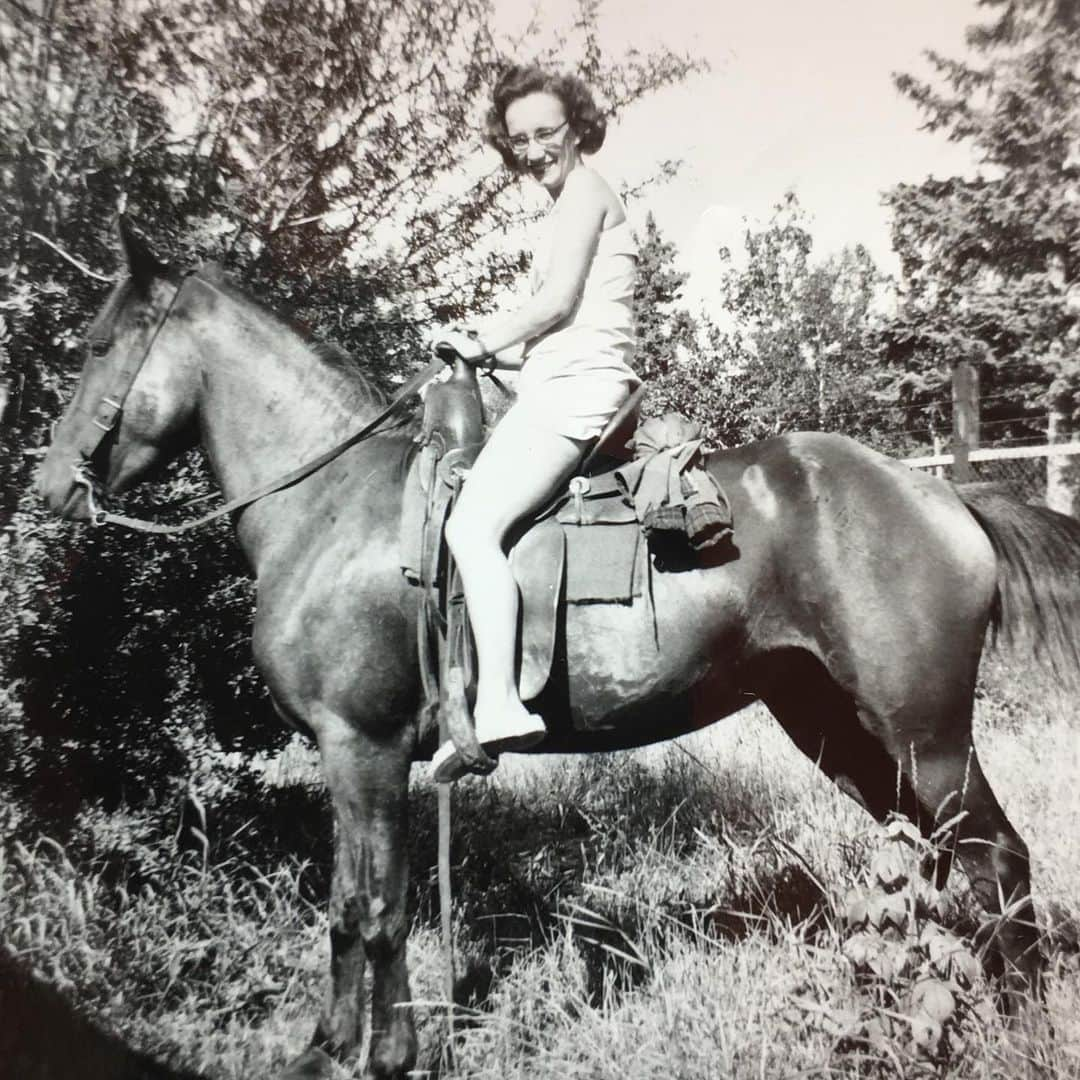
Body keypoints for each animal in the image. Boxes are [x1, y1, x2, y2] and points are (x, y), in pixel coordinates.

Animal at [38, 225, 1075, 1071]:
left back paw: (1017, 1024)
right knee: (938, 862)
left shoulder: (366, 750)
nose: (49, 487)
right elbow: (342, 906)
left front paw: (389, 1054)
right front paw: (327, 1046)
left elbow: (380, 911)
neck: (333, 507)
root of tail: (943, 493)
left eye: (97, 348)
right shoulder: (344, 757)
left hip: (925, 735)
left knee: (998, 857)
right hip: (836, 729)